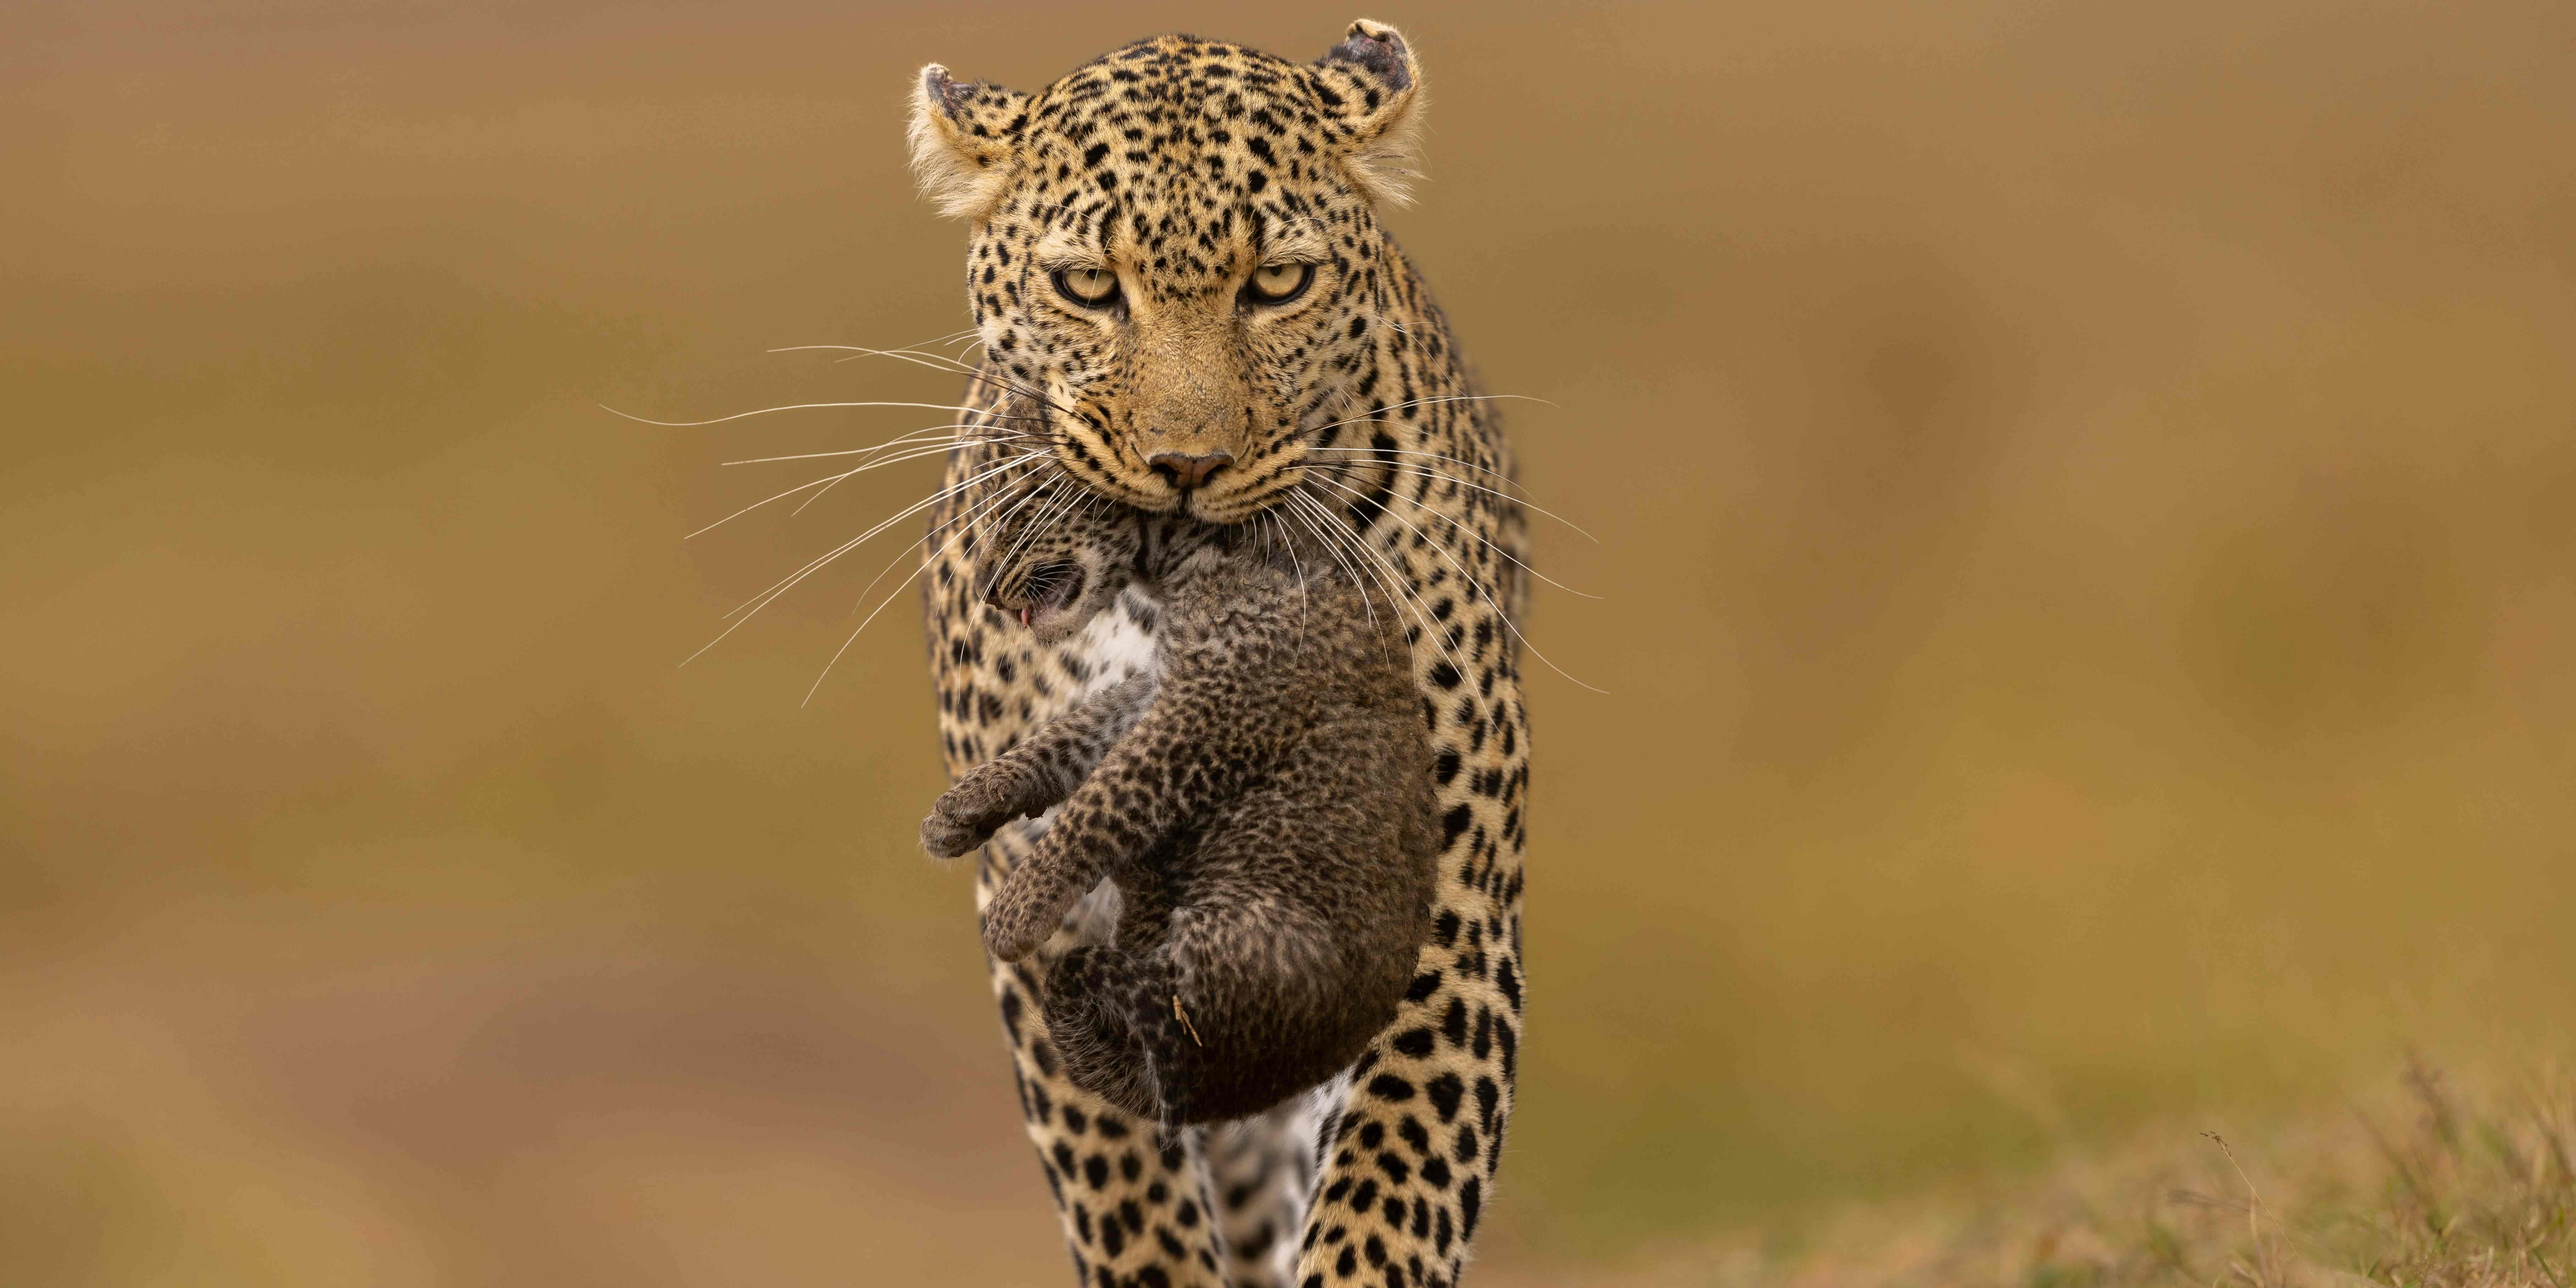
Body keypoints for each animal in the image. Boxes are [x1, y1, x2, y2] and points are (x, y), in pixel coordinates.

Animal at [918, 473, 1439, 1128]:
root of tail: (1235, 1094)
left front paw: (1016, 913)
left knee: (1150, 995)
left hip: (1253, 935)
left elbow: (1107, 797)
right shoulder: (1161, 688)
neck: (1183, 560)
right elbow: (1069, 738)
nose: (985, 589)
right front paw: (964, 809)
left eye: (1024, 510)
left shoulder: (1212, 708)